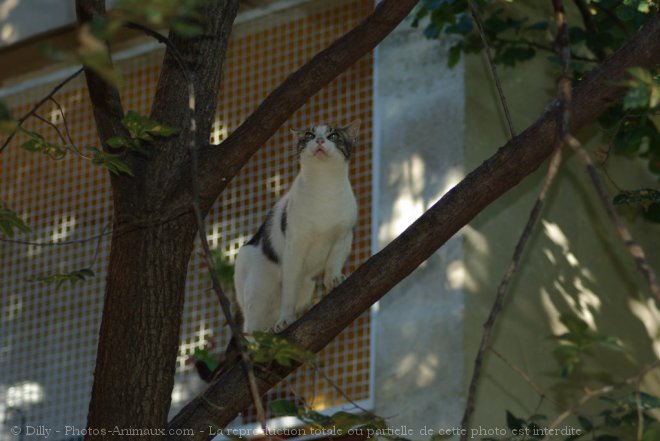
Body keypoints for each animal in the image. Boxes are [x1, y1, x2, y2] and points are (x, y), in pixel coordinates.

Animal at [233, 118, 358, 332]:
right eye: (309, 134)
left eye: (333, 135)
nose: (319, 140)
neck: (324, 189)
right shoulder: (294, 251)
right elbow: (289, 293)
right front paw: (285, 319)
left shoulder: (343, 237)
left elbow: (334, 262)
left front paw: (334, 279)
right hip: (257, 291)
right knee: (250, 328)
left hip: (306, 288)